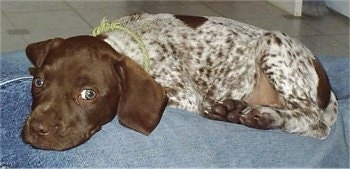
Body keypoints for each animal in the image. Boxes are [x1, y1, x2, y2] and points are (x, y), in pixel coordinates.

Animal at [22, 13, 340, 151]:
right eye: (38, 82)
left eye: (88, 94)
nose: (37, 129)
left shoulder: (185, 94)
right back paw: (233, 110)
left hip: (272, 43)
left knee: (313, 121)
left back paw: (265, 115)